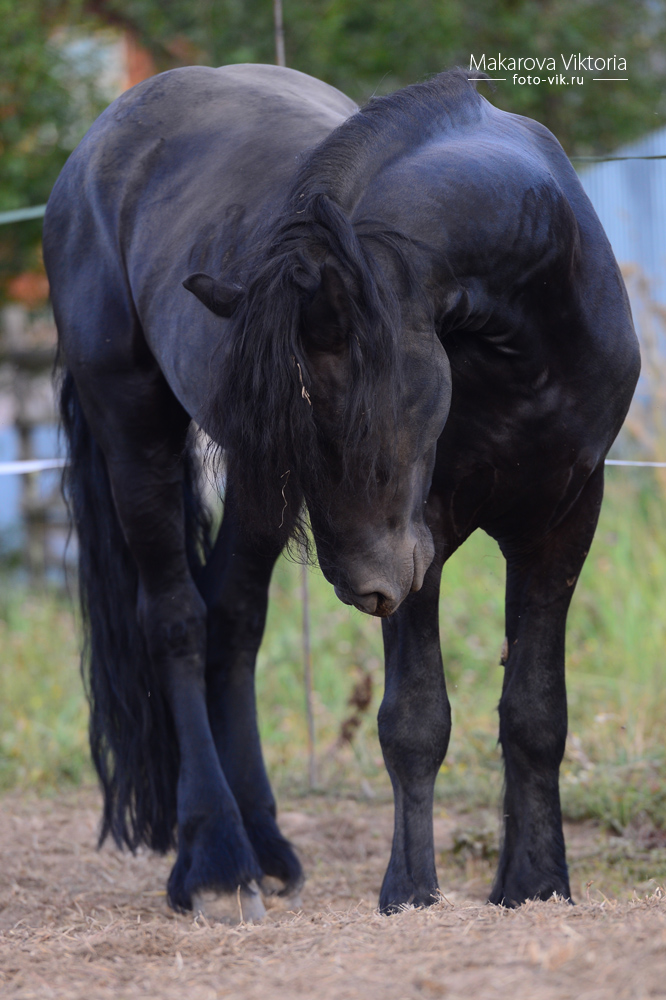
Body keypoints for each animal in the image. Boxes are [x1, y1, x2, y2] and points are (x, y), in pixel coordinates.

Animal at [42, 66, 640, 916]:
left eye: (346, 416)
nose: (366, 588)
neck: (525, 333)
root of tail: (104, 138)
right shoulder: (426, 540)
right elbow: (414, 720)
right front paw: (411, 890)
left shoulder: (562, 520)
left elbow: (536, 713)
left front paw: (534, 884)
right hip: (132, 428)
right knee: (178, 622)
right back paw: (217, 859)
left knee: (232, 617)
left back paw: (265, 845)